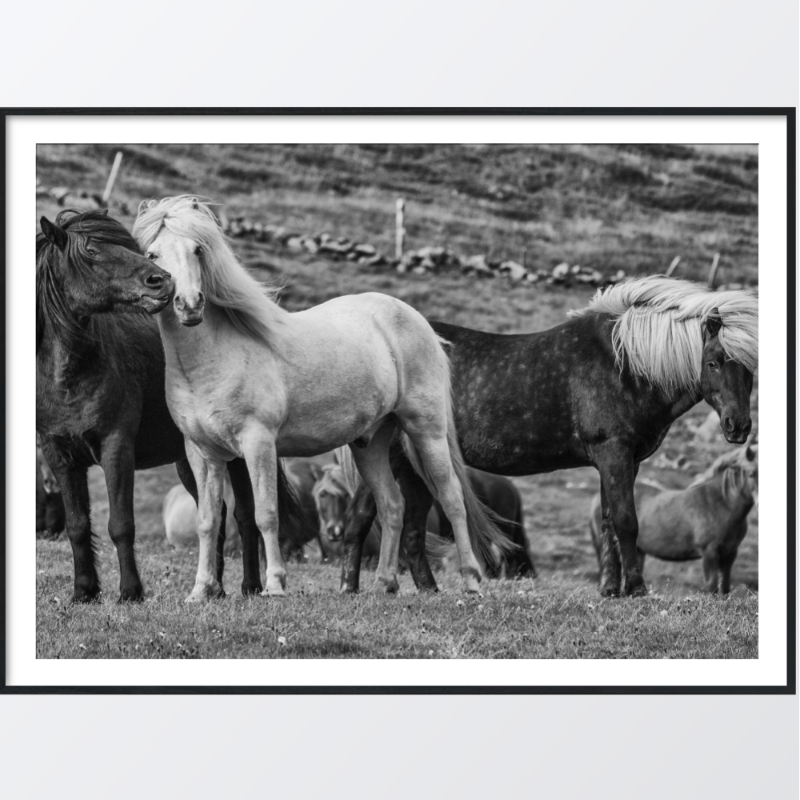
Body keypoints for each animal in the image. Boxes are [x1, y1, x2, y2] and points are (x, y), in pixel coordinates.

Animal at [34, 209, 304, 604]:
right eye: (92, 252)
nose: (160, 280)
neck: (68, 377)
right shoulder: (60, 456)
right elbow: (78, 525)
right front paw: (84, 592)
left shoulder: (116, 446)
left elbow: (121, 523)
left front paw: (130, 592)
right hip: (190, 460)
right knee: (218, 515)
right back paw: (215, 588)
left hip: (238, 455)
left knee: (245, 516)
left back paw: (251, 587)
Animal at [134, 197, 504, 600]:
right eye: (152, 254)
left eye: (197, 249)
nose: (189, 305)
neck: (213, 359)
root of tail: (416, 320)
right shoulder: (203, 453)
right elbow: (208, 520)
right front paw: (200, 590)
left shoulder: (258, 442)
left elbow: (266, 514)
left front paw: (275, 585)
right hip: (371, 444)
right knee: (393, 504)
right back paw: (385, 583)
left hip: (426, 430)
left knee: (452, 497)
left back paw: (471, 579)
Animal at [592, 444, 760, 592]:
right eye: (751, 474)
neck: (719, 503)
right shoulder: (710, 554)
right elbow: (712, 588)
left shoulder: (730, 554)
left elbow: (725, 588)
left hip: (638, 551)